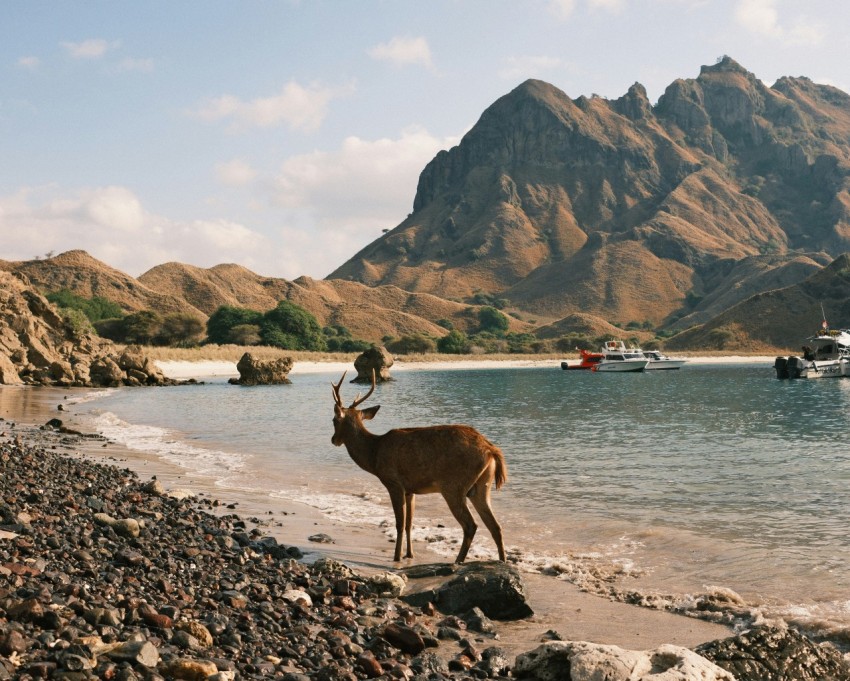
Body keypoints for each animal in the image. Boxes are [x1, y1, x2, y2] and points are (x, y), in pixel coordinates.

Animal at [330, 372, 504, 564]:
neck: (374, 455)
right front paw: (409, 554)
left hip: (454, 486)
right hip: (482, 487)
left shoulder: (393, 483)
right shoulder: (410, 489)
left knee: (471, 525)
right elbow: (409, 524)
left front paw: (397, 557)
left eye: (334, 420)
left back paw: (458, 561)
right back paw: (502, 560)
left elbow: (399, 523)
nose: (333, 440)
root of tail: (491, 450)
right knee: (496, 526)